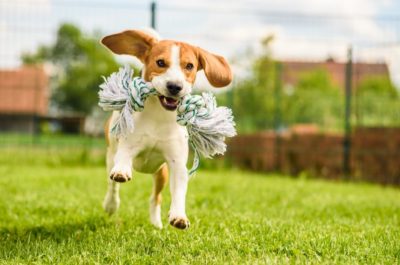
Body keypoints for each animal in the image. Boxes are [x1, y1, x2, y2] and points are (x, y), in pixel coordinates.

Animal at [100, 28, 233, 227]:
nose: (175, 86)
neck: (159, 116)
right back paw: (110, 204)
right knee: (112, 185)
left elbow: (178, 191)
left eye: (189, 66)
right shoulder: (128, 144)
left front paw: (179, 216)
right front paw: (122, 171)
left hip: (161, 173)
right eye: (160, 62)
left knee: (156, 197)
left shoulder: (177, 163)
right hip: (110, 156)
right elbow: (123, 159)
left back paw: (156, 222)